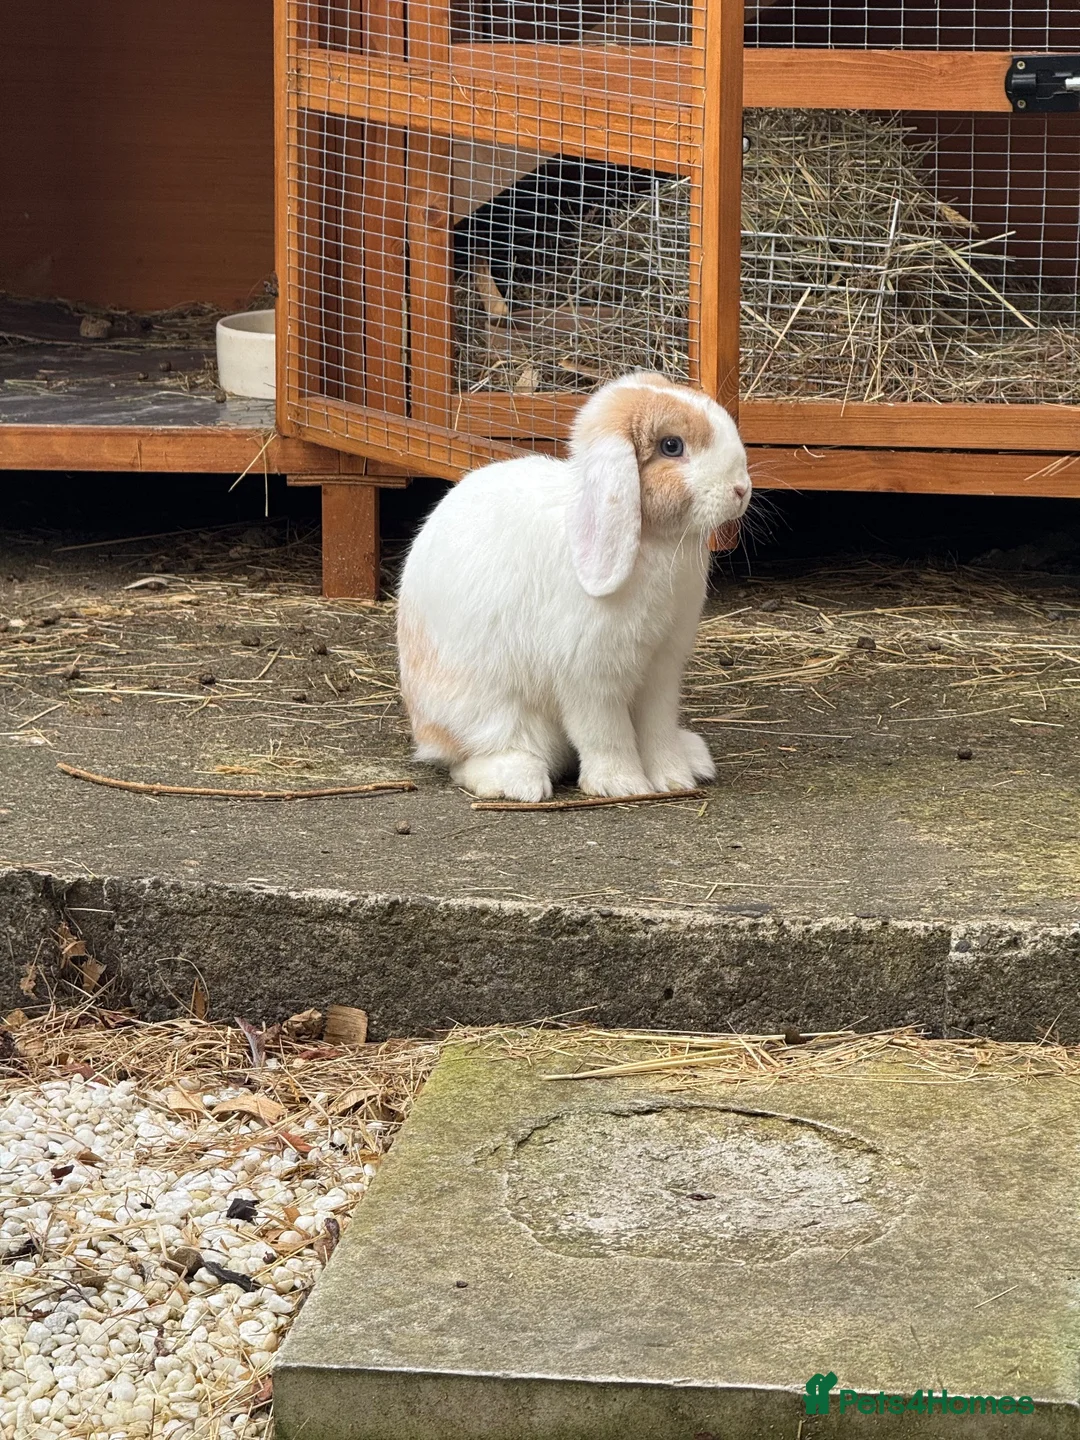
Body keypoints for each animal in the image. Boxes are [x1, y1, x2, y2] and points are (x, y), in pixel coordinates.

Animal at [396, 372, 751, 802]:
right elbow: (605, 734)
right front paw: (623, 785)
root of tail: (424, 729)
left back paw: (695, 756)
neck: (653, 540)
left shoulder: (661, 670)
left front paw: (673, 779)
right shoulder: (589, 675)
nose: (742, 489)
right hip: (487, 713)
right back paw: (519, 780)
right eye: (672, 446)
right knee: (469, 759)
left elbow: (658, 730)